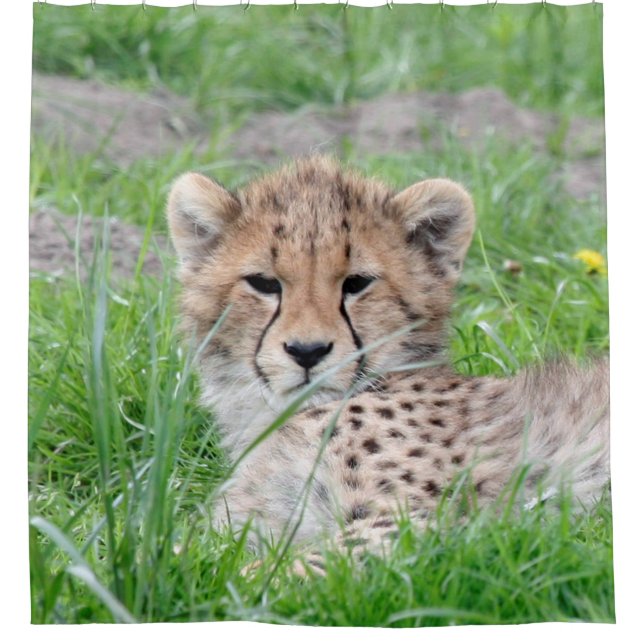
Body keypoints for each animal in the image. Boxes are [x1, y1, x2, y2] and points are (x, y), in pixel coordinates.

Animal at [167, 156, 609, 568]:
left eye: (357, 283)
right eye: (263, 283)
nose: (307, 351)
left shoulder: (428, 524)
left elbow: (276, 570)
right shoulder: (247, 525)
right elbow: (187, 554)